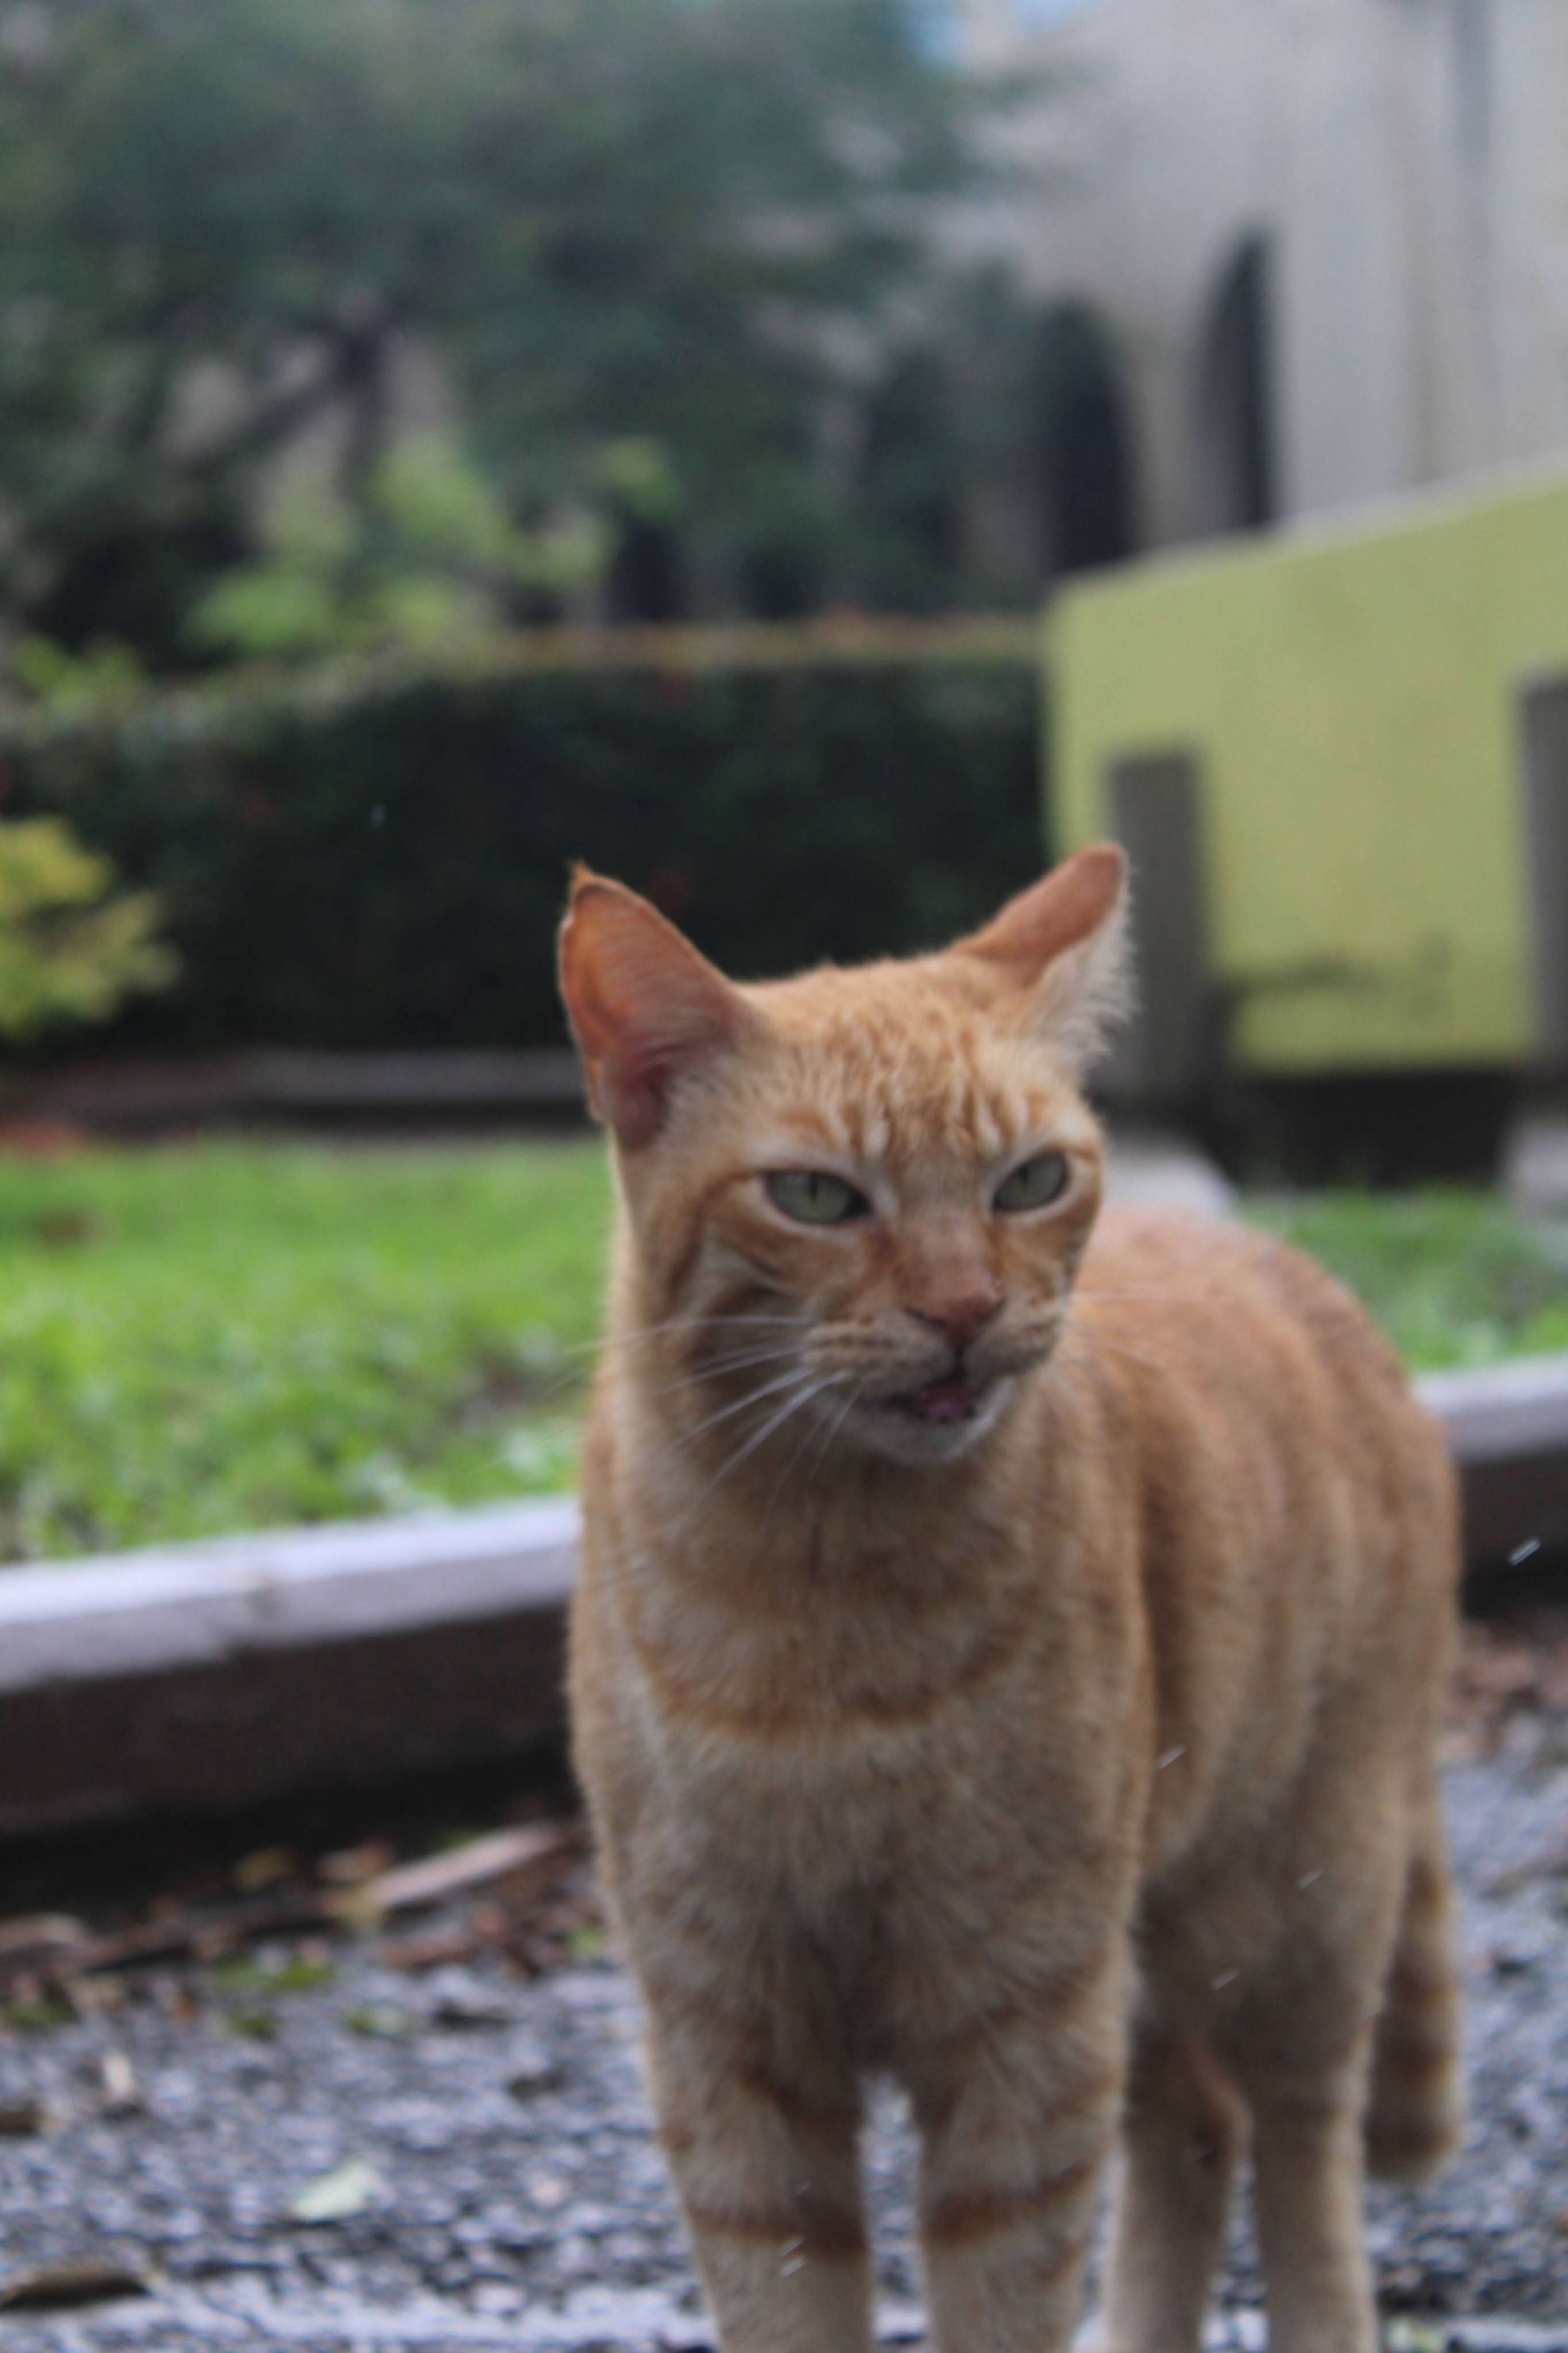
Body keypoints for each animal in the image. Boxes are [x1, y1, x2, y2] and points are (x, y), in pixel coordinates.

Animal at [557, 851, 1467, 2353]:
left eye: (1030, 1180)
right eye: (817, 1198)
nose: (966, 1308)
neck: (814, 1599)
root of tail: (1307, 1268)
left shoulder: (1025, 2022)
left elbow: (1001, 2287)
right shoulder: (725, 2029)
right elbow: (785, 2294)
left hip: (1302, 1905)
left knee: (1302, 2146)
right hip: (1155, 1950)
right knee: (1196, 2127)